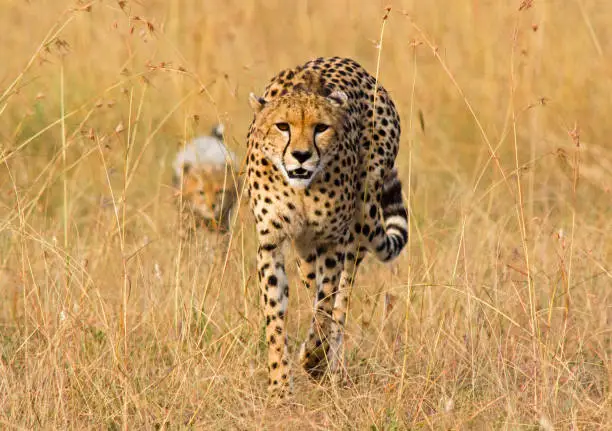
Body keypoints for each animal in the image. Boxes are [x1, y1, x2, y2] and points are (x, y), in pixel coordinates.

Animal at [246, 55, 408, 396]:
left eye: (321, 128)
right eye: (282, 126)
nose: (301, 155)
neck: (301, 188)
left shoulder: (333, 241)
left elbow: (325, 305)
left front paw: (312, 359)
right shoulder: (271, 242)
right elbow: (275, 315)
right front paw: (279, 386)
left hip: (360, 221)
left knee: (340, 301)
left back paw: (332, 365)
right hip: (305, 248)